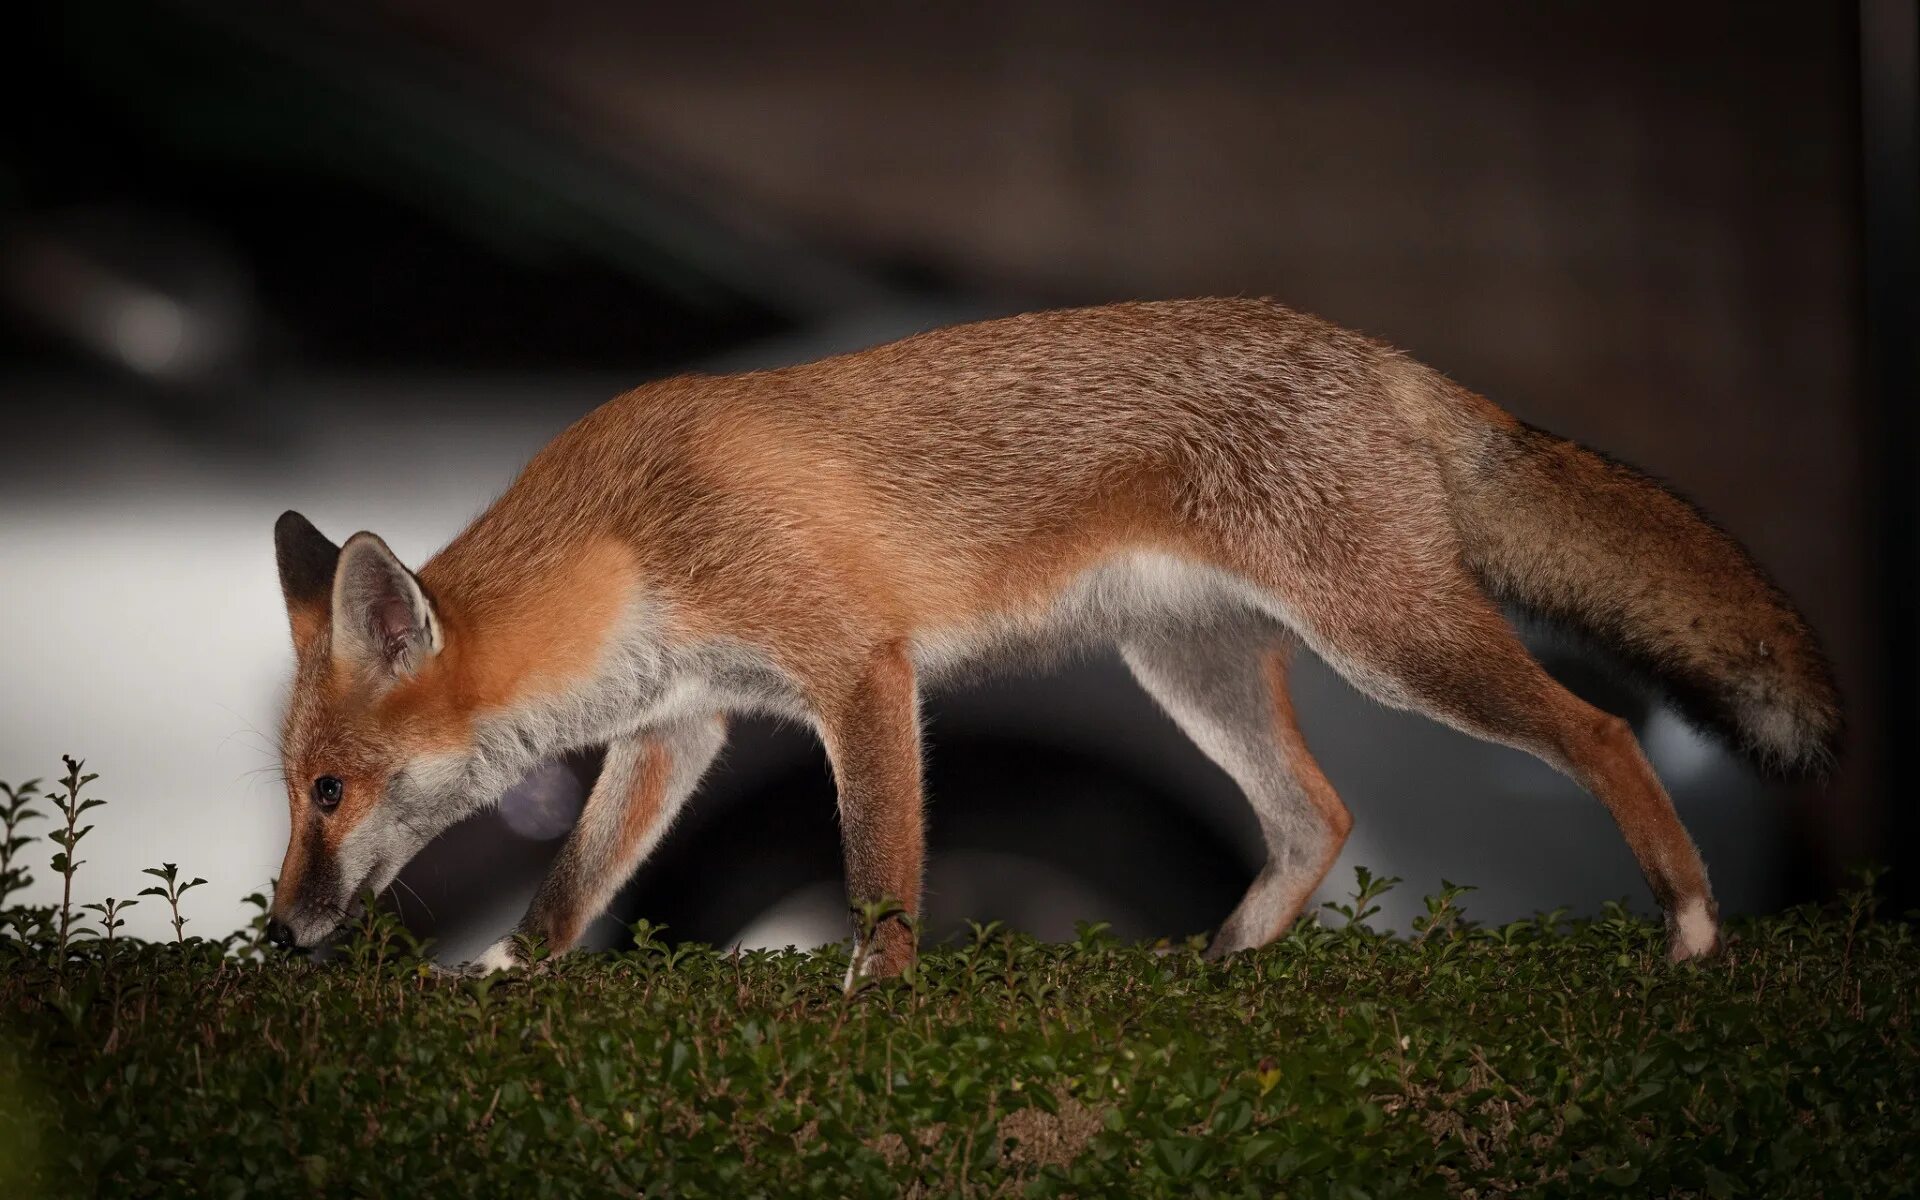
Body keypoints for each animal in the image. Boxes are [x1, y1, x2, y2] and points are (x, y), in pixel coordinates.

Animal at [263, 297, 1835, 975]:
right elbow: (570, 890)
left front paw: (874, 1003)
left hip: (1393, 644)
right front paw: (510, 988)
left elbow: (881, 877)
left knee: (1601, 729)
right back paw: (1224, 964)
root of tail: (1380, 354)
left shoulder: (858, 672)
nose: (277, 929)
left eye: (329, 791)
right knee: (1316, 815)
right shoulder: (682, 720)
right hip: (1190, 670)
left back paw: (1692, 922)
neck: (635, 536)